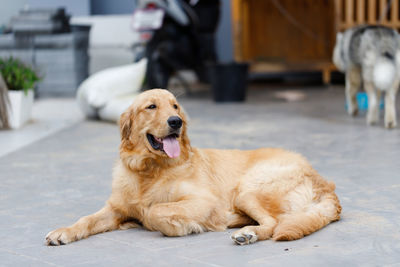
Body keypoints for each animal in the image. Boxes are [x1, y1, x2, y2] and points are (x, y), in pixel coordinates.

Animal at [46, 89, 340, 246]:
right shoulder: (115, 208)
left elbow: (155, 211)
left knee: (273, 223)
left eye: (175, 106)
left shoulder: (203, 200)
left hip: (248, 189)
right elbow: (86, 219)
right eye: (151, 106)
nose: (175, 121)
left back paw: (247, 233)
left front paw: (182, 225)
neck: (149, 170)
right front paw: (63, 231)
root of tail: (323, 180)